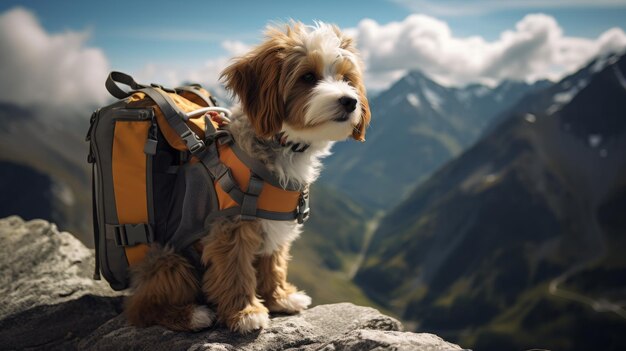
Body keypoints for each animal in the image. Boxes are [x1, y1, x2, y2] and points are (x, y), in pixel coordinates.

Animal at [125, 22, 370, 336]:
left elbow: (273, 262)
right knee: (141, 308)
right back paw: (192, 315)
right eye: (307, 77)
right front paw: (246, 313)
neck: (283, 145)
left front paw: (280, 297)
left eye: (346, 78)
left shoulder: (275, 224)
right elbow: (236, 269)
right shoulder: (231, 227)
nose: (350, 101)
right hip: (168, 260)